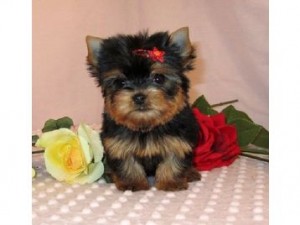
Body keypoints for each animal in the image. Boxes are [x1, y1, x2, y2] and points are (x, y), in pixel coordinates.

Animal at [85, 27, 200, 191]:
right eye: (120, 82)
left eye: (159, 78)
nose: (139, 97)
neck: (146, 125)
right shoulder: (118, 143)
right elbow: (127, 162)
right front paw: (133, 183)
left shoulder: (179, 139)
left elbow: (174, 159)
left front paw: (171, 182)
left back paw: (190, 173)